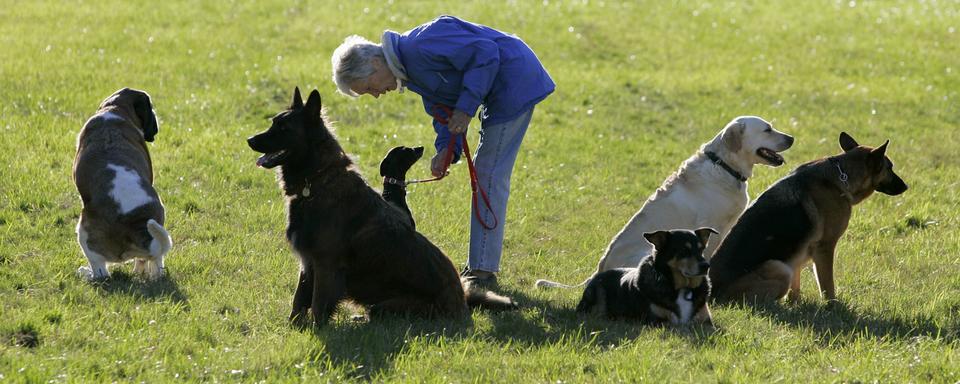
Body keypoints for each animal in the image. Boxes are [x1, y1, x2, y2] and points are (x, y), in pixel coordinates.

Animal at [73, 88, 172, 280]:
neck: (116, 108)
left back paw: (87, 274)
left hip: (83, 230)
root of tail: (135, 226)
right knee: (155, 261)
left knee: (101, 272)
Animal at [248, 88, 516, 326]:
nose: (249, 140)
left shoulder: (325, 264)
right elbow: (299, 300)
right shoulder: (308, 262)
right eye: (273, 123)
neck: (317, 180)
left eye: (284, 128)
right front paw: (293, 327)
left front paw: (315, 330)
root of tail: (462, 303)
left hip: (385, 306)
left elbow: (318, 304)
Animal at [572, 228, 716, 328]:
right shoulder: (656, 322)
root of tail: (597, 275)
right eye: (684, 251)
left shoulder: (706, 321)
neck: (683, 288)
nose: (706, 266)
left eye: (701, 250)